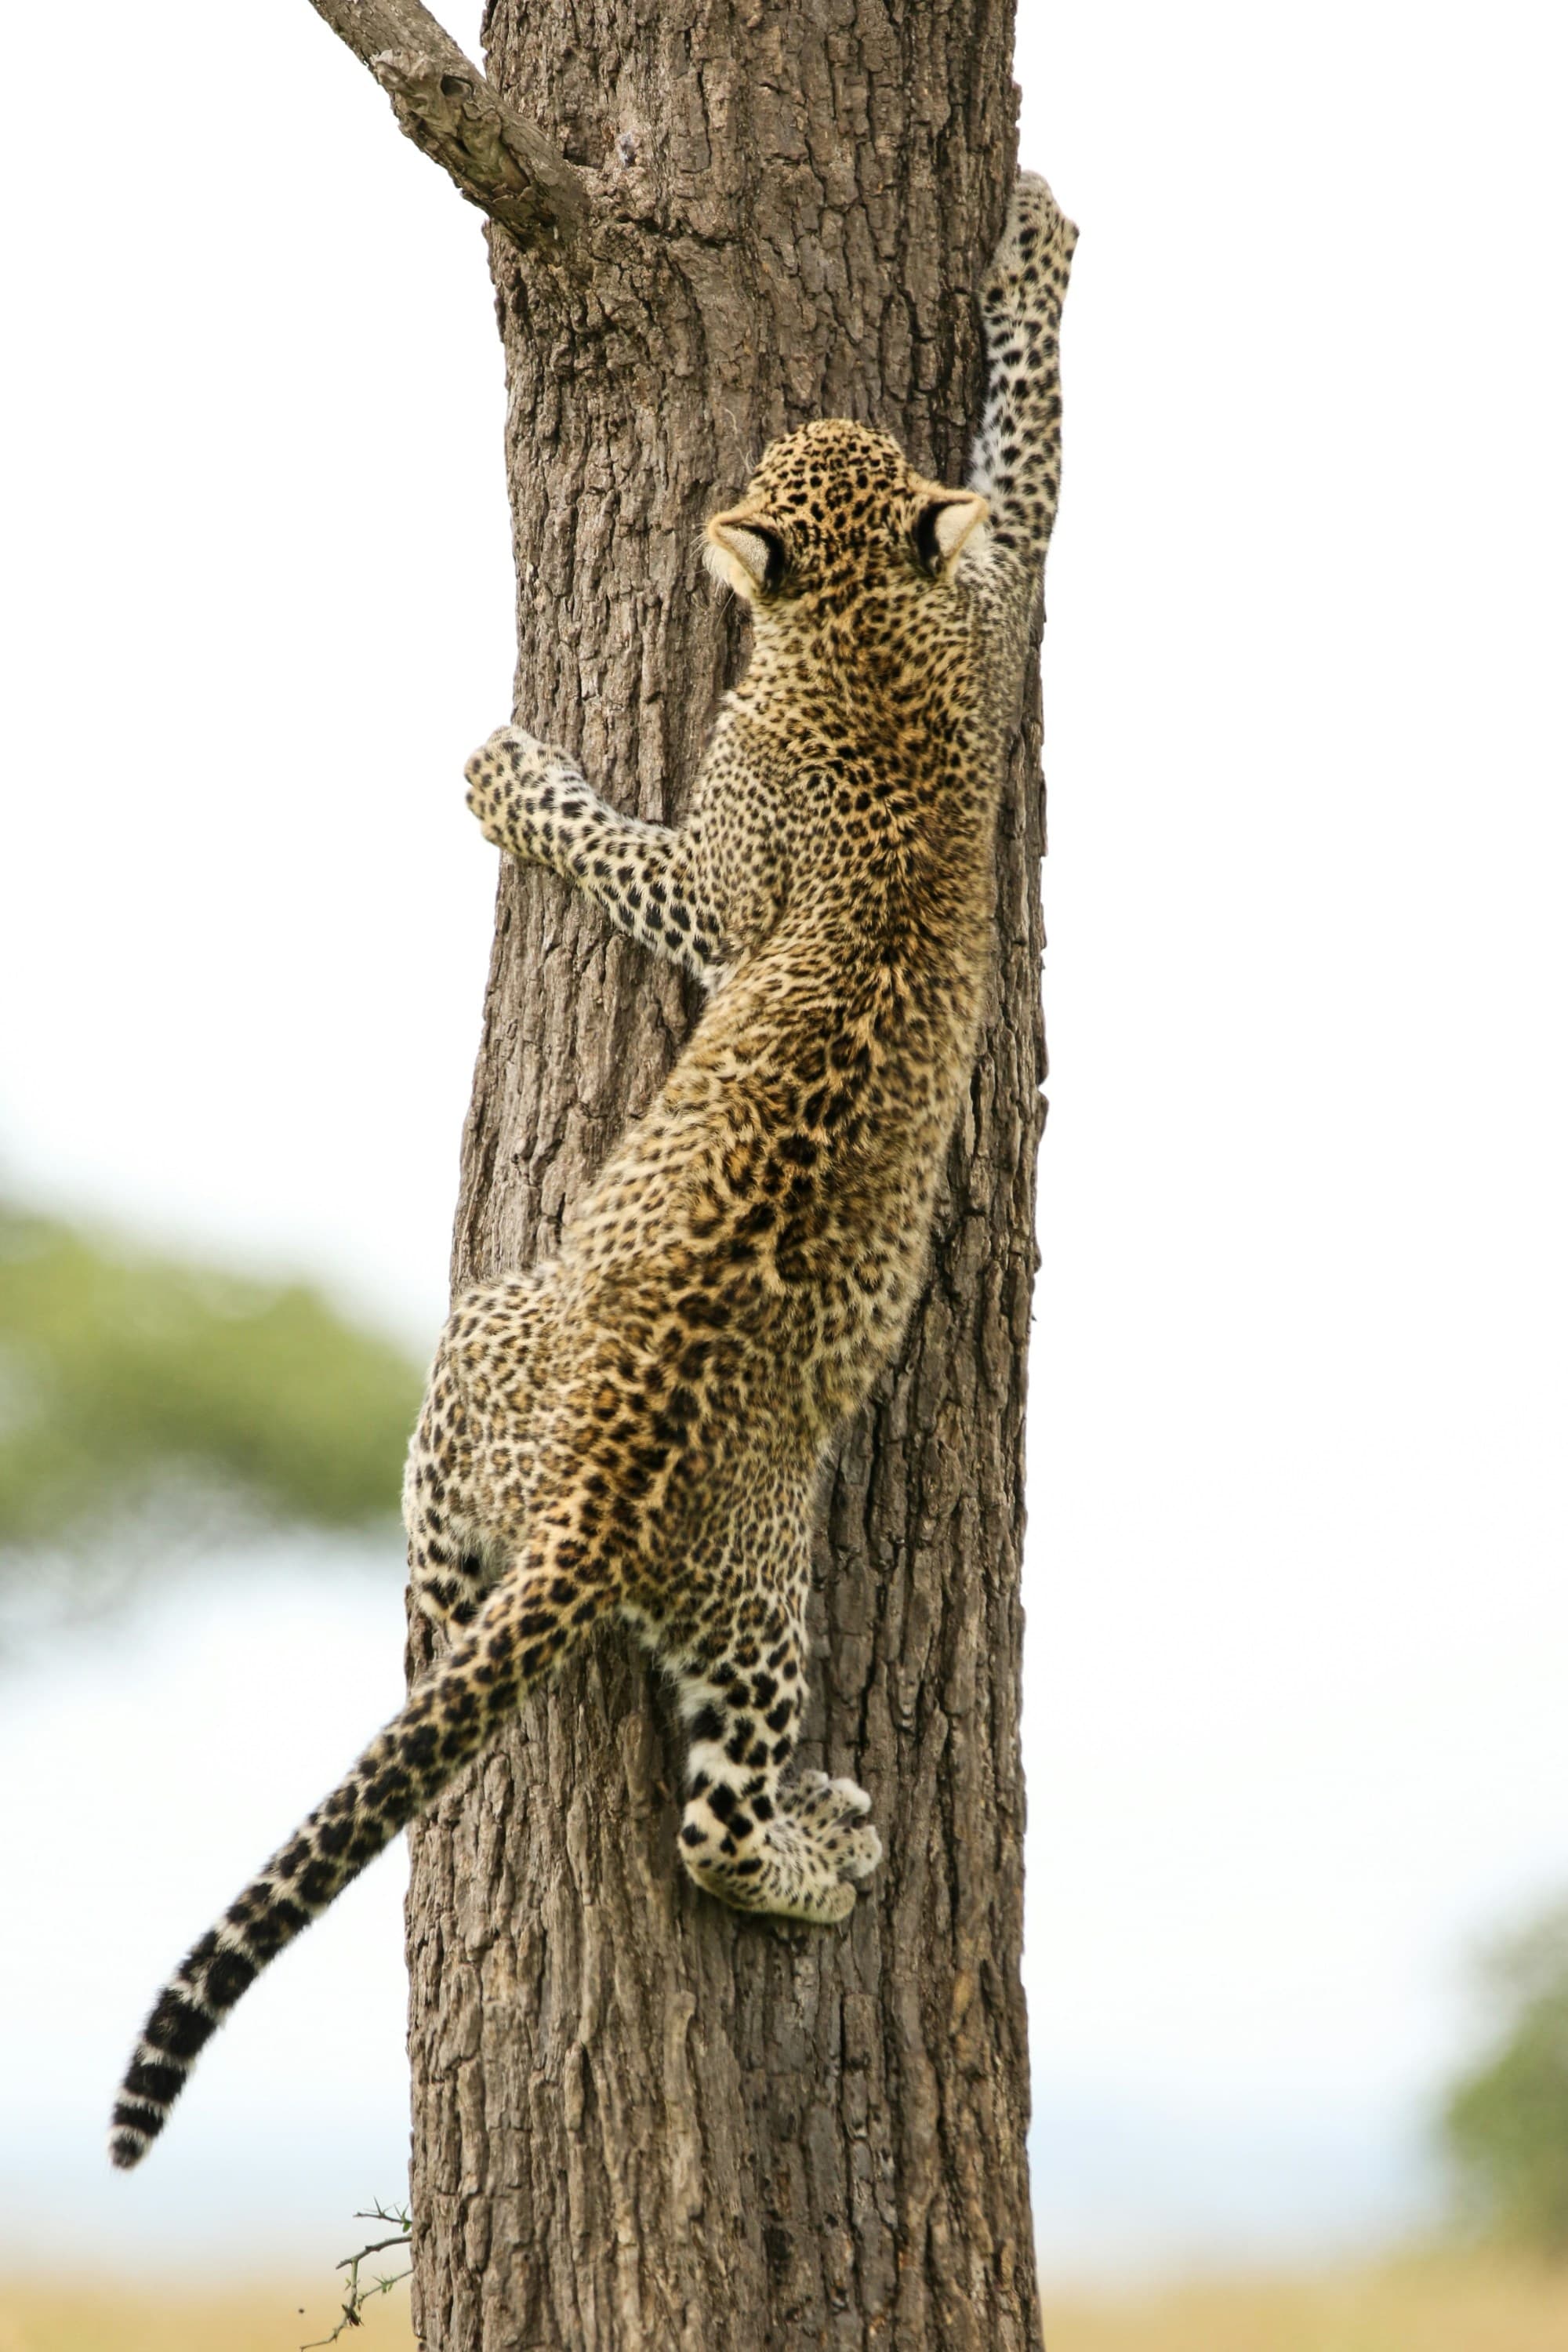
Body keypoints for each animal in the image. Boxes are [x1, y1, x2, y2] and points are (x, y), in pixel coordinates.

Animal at [109, 171, 1076, 2170]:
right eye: (824, 446)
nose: (749, 462)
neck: (874, 627)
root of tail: (586, 1492)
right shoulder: (994, 589)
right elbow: (1026, 454)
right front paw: (1036, 253)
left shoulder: (719, 892)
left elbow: (624, 852)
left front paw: (506, 776)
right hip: (496, 1352)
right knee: (431, 1597)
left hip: (732, 1584)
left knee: (696, 1815)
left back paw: (814, 1854)